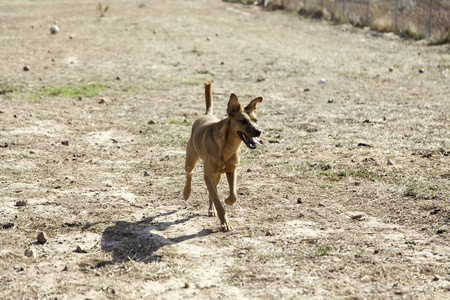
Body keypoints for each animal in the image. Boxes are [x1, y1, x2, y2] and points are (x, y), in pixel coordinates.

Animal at [183, 79, 264, 230]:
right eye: (243, 121)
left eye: (255, 120)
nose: (258, 131)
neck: (227, 147)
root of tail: (207, 115)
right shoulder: (208, 175)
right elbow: (218, 201)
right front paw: (225, 223)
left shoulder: (231, 170)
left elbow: (233, 194)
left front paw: (228, 201)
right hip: (191, 159)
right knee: (190, 173)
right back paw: (186, 193)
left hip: (217, 176)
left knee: (211, 191)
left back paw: (211, 209)